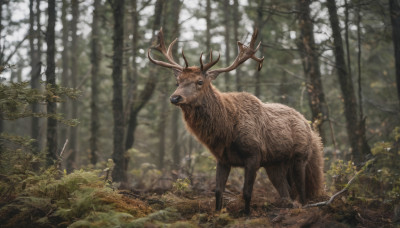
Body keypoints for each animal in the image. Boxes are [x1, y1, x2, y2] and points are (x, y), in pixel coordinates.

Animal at [148, 27, 324, 215]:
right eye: (178, 81)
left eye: (200, 81)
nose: (175, 98)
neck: (225, 131)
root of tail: (311, 130)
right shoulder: (223, 158)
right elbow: (218, 191)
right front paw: (218, 213)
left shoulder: (254, 154)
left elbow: (246, 192)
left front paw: (246, 214)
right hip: (275, 164)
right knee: (286, 190)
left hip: (300, 156)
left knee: (302, 189)